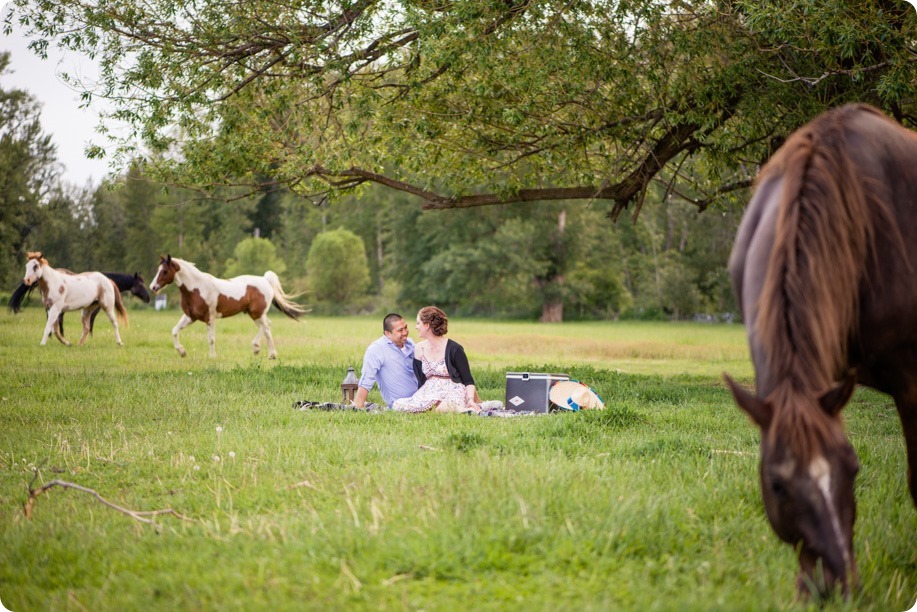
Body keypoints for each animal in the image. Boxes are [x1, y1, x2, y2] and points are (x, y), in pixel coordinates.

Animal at [148, 255, 306, 358]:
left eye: (165, 271)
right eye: (158, 269)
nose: (153, 287)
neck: (197, 288)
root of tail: (265, 279)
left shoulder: (210, 317)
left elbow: (211, 338)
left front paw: (212, 356)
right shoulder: (190, 317)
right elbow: (174, 330)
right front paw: (182, 352)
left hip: (257, 313)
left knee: (266, 327)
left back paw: (269, 353)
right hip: (254, 313)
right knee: (267, 325)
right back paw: (259, 350)